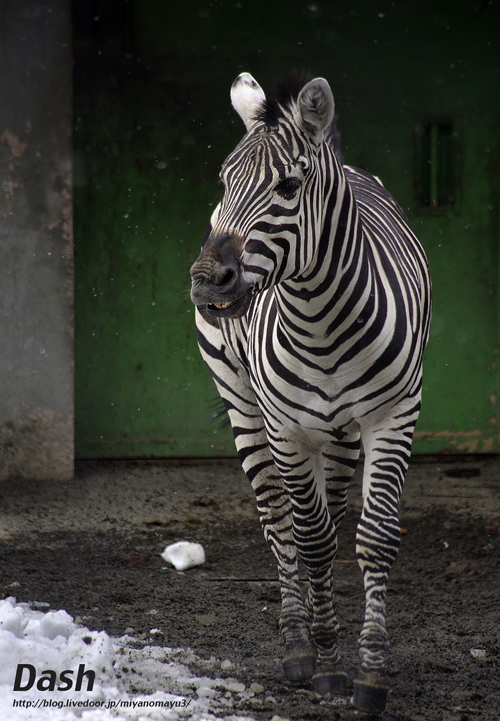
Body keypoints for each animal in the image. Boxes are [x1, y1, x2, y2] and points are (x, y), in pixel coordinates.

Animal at [189, 70, 432, 712]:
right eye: (223, 181)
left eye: (289, 186)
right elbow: (311, 537)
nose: (206, 282)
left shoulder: (393, 416)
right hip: (241, 400)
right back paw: (297, 642)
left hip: (342, 433)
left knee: (333, 507)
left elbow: (373, 536)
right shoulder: (287, 429)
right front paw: (323, 660)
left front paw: (370, 672)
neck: (320, 322)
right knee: (278, 518)